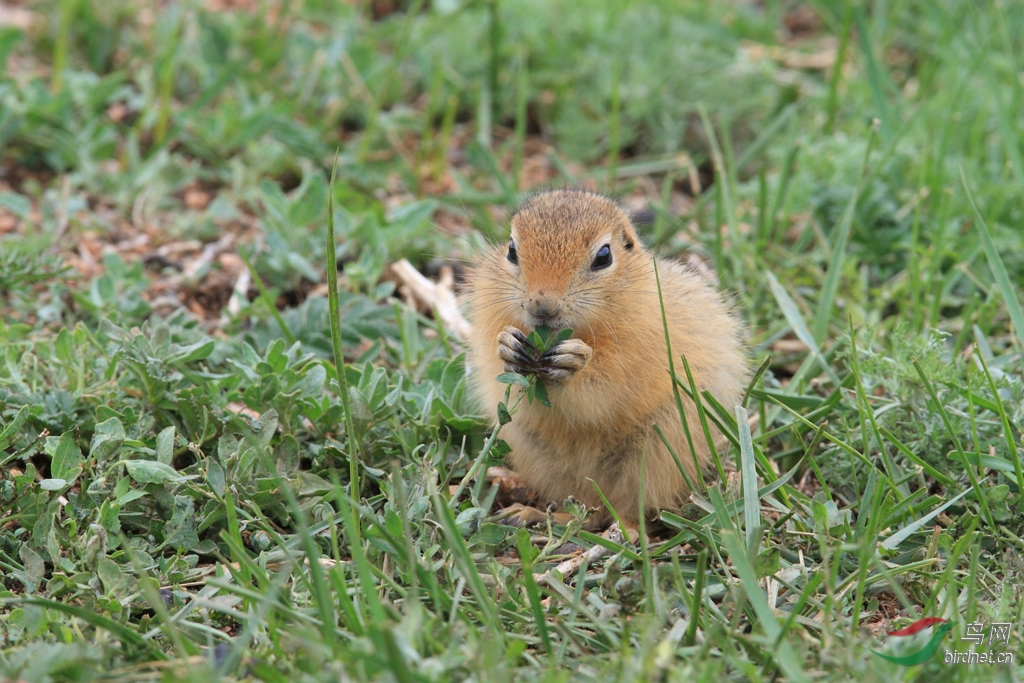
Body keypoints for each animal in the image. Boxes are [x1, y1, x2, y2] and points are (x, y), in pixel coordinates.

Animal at [464, 189, 745, 532]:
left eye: (604, 257)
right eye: (512, 250)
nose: (542, 306)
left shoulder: (637, 352)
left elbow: (605, 388)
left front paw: (574, 362)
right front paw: (506, 346)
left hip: (653, 457)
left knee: (625, 508)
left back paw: (623, 531)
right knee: (587, 508)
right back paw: (533, 514)